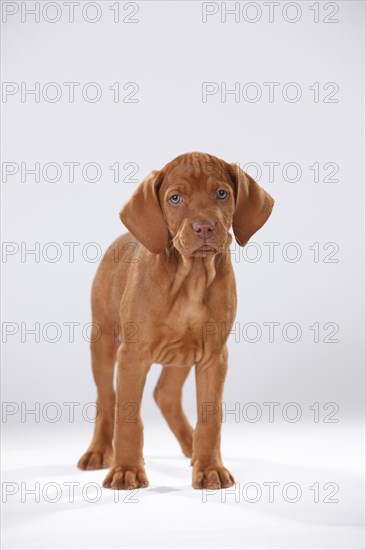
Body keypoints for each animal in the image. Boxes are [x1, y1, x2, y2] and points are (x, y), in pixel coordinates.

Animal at [78, 152, 274, 492]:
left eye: (221, 193)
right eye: (175, 198)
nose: (204, 227)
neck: (190, 279)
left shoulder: (213, 357)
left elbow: (210, 418)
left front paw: (209, 467)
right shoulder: (132, 356)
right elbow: (127, 419)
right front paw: (126, 470)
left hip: (182, 354)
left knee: (165, 394)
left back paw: (191, 446)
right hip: (102, 340)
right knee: (106, 398)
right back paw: (100, 451)